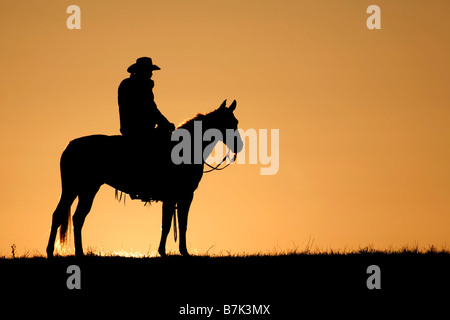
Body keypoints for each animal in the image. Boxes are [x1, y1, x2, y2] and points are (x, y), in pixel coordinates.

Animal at [46, 100, 243, 258]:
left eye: (236, 121)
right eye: (230, 122)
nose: (239, 146)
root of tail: (70, 146)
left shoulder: (176, 197)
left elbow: (172, 223)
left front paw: (169, 251)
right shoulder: (182, 196)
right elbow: (175, 223)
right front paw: (177, 252)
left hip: (84, 189)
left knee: (73, 217)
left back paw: (73, 252)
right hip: (77, 188)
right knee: (65, 215)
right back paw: (57, 252)